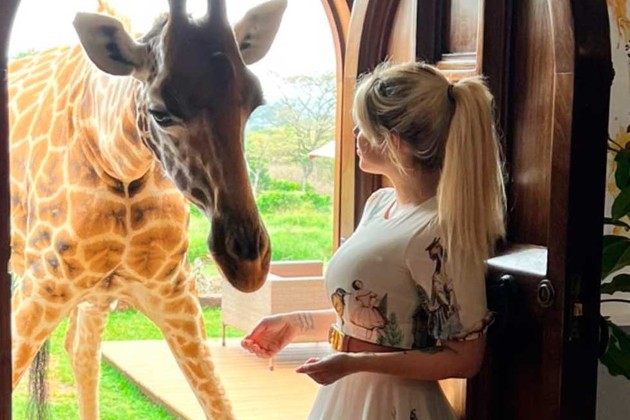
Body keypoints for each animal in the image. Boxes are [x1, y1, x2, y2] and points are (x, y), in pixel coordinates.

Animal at [8, 0, 287, 418]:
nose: (248, 263)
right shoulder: (41, 285)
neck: (119, 165)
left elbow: (219, 401)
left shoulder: (174, 292)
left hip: (98, 293)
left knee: (82, 350)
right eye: (160, 112)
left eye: (253, 103)